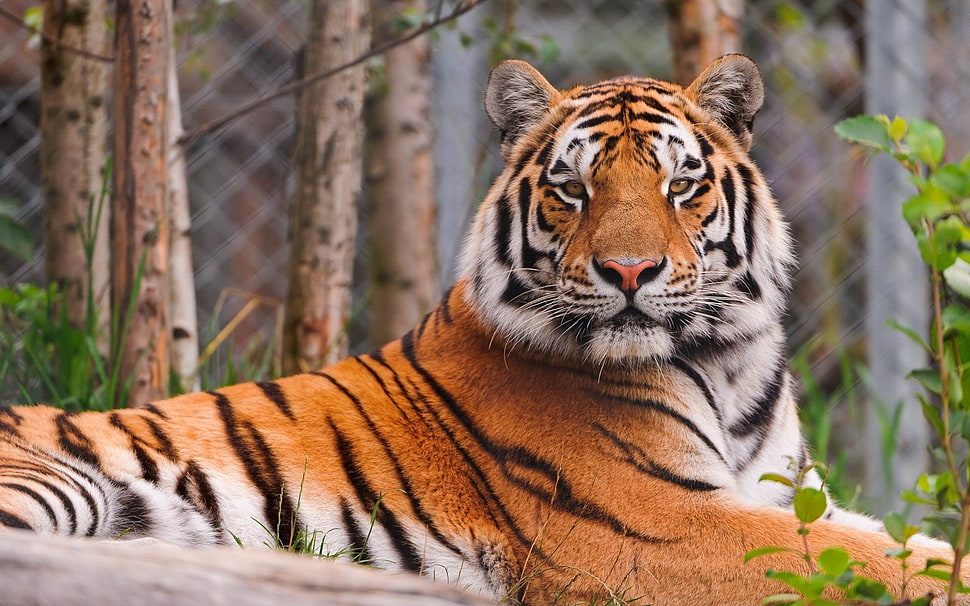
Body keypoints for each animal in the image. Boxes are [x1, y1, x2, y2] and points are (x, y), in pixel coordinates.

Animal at [0, 55, 962, 605]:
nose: (629, 274)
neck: (727, 362)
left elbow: (894, 541)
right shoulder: (654, 528)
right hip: (55, 482)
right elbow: (883, 563)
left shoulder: (786, 494)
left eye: (679, 185)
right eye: (573, 188)